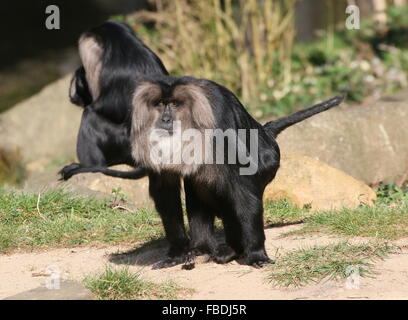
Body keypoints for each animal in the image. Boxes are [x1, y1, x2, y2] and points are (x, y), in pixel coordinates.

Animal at [131, 76, 344, 268]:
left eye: (174, 104)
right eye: (160, 104)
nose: (165, 119)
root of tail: (265, 133)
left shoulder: (219, 119)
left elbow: (242, 185)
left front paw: (257, 254)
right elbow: (166, 191)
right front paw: (178, 254)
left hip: (269, 164)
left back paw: (234, 249)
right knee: (199, 189)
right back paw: (203, 248)